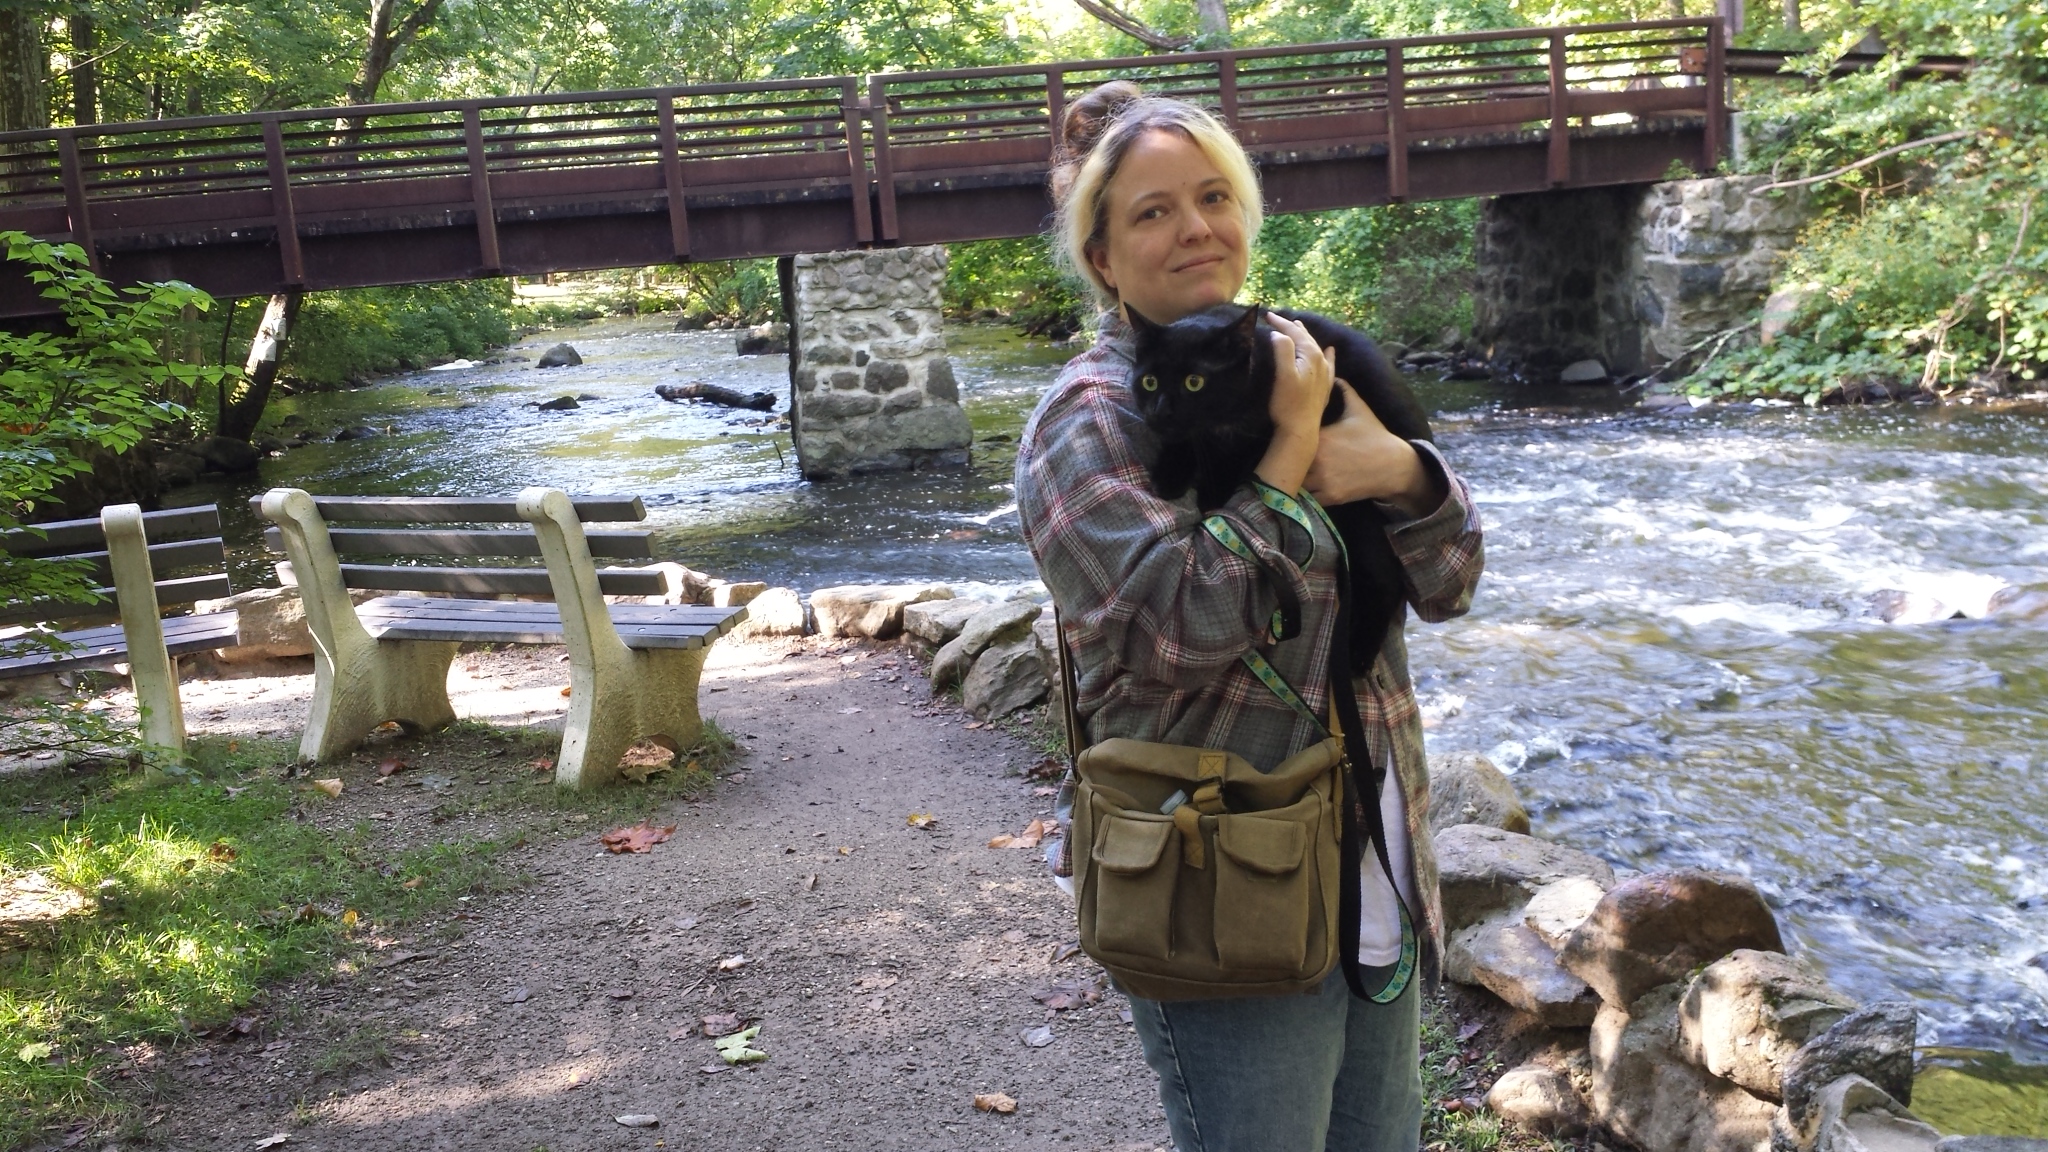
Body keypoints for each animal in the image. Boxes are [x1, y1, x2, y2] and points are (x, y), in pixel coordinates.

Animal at [1122, 303, 1441, 672]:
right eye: (1149, 381)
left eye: (1194, 382)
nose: (1159, 412)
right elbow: (1193, 439)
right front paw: (1170, 474)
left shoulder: (1332, 403)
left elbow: (1248, 451)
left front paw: (1215, 490)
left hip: (1359, 516)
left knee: (1385, 578)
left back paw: (1357, 658)